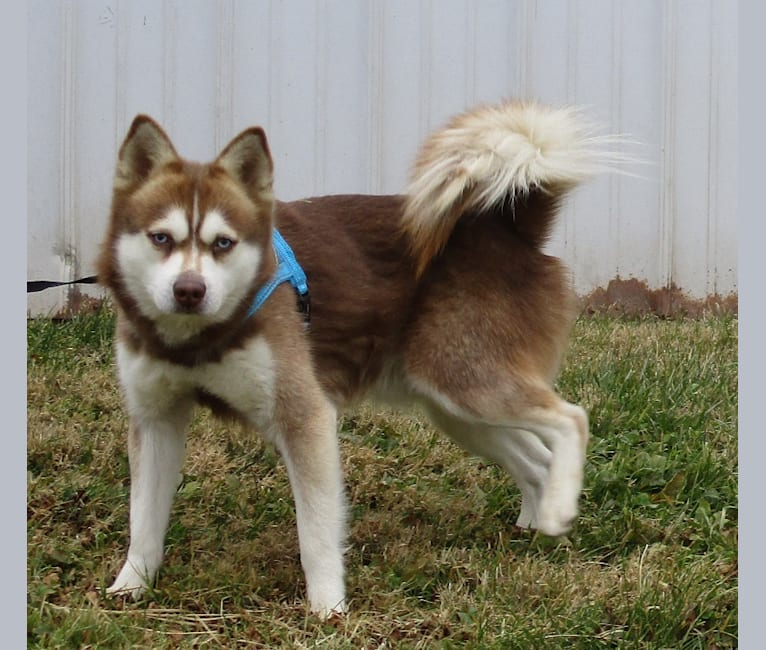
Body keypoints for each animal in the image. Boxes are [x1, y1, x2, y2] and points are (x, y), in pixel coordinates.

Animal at [99, 100, 620, 612]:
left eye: (222, 243)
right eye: (161, 238)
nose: (189, 290)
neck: (196, 339)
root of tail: (513, 232)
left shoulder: (304, 414)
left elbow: (316, 532)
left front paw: (328, 609)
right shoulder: (156, 419)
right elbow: (143, 519)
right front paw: (131, 586)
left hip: (466, 381)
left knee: (572, 418)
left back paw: (556, 509)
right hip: (457, 406)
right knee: (535, 456)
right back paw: (539, 521)